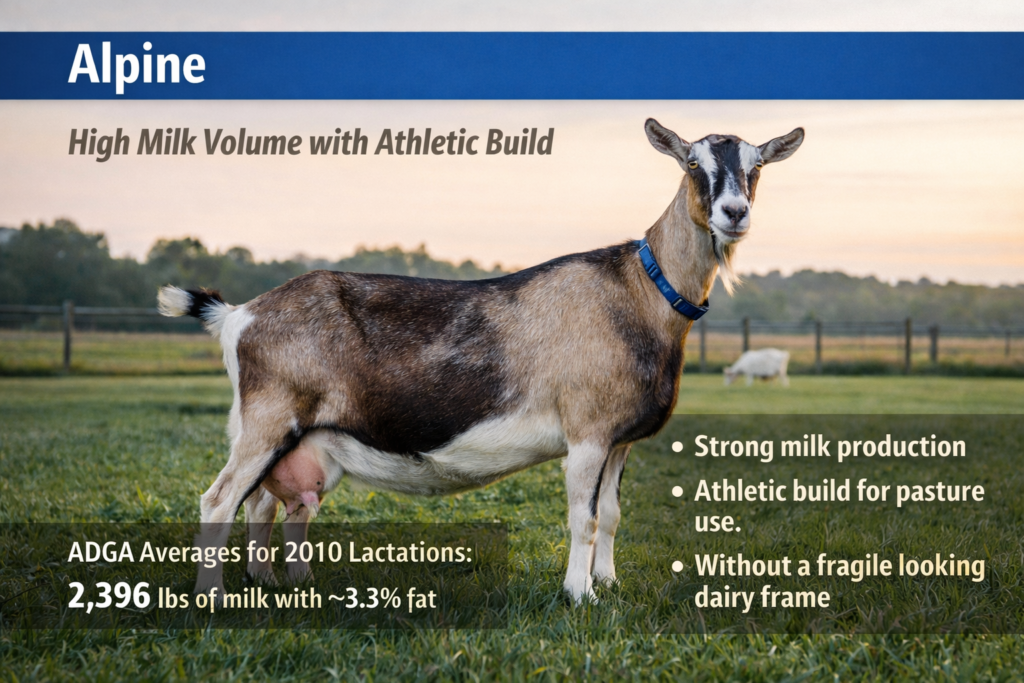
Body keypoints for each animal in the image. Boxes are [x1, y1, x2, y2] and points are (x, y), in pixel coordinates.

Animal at [158, 118, 803, 604]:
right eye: (692, 163)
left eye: (758, 166)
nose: (734, 212)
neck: (639, 291)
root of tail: (238, 315)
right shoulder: (587, 431)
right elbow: (584, 517)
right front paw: (579, 597)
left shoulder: (620, 439)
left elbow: (614, 514)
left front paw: (609, 585)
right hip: (269, 418)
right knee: (220, 500)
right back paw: (216, 596)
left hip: (300, 436)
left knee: (272, 502)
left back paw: (278, 583)